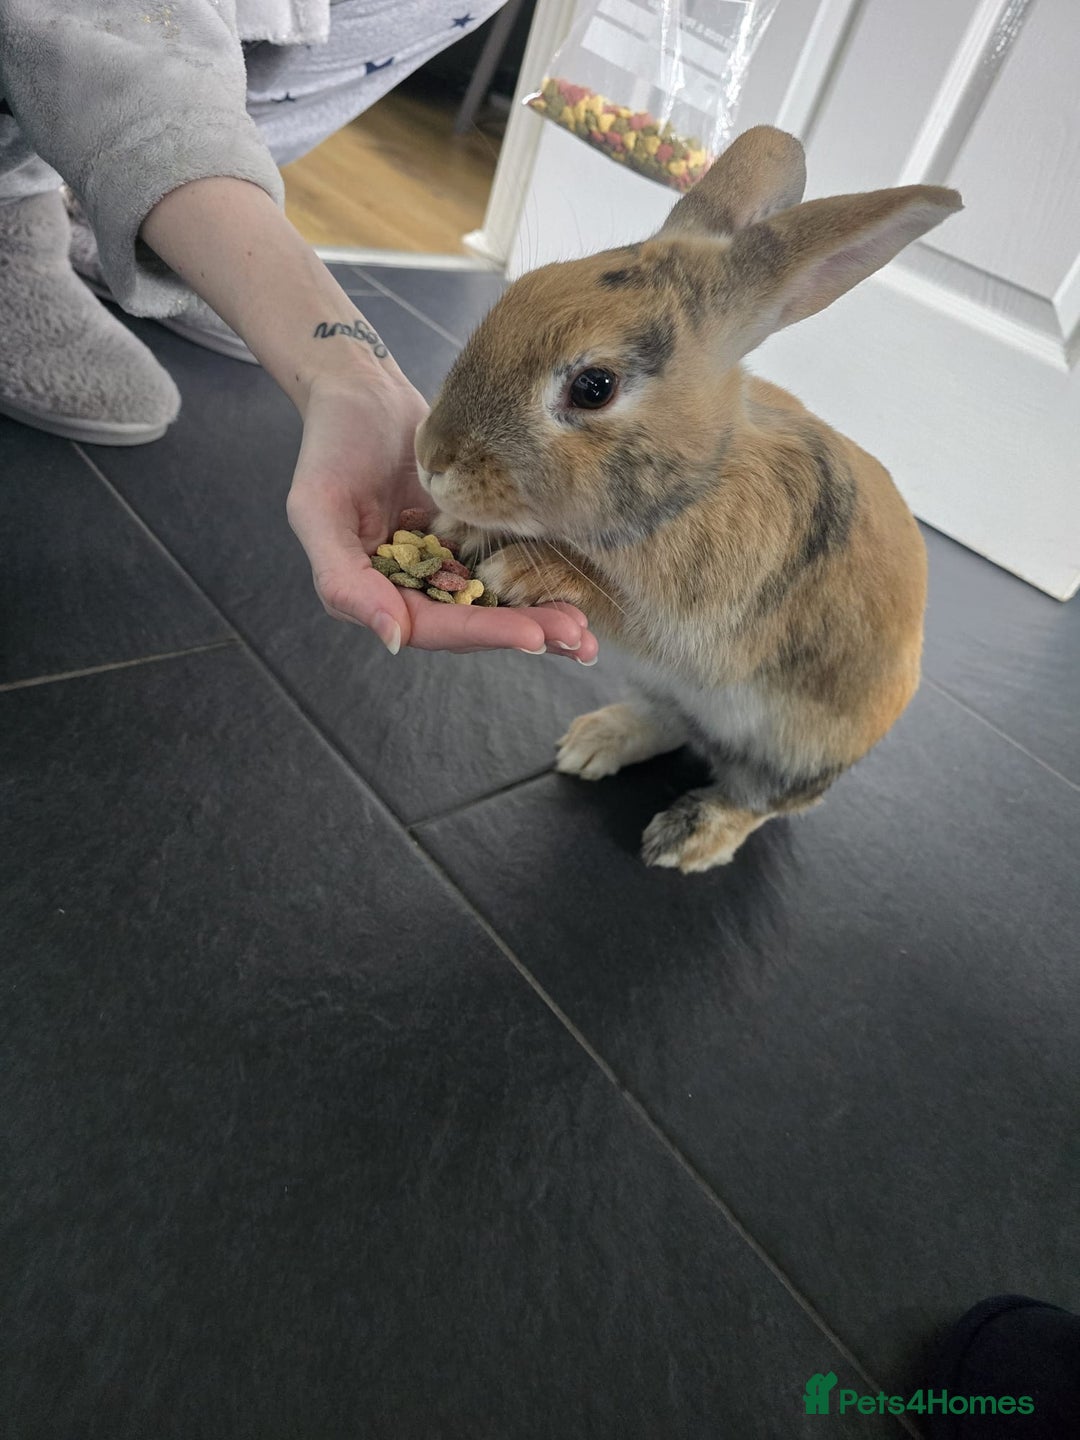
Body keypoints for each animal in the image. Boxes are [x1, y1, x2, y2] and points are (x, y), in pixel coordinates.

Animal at [414, 126, 962, 873]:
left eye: (594, 387)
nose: (430, 459)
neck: (697, 483)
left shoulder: (689, 628)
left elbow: (614, 599)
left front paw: (528, 569)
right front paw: (460, 530)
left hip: (794, 751)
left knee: (762, 799)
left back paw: (689, 840)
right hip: (666, 691)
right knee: (669, 723)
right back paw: (592, 744)